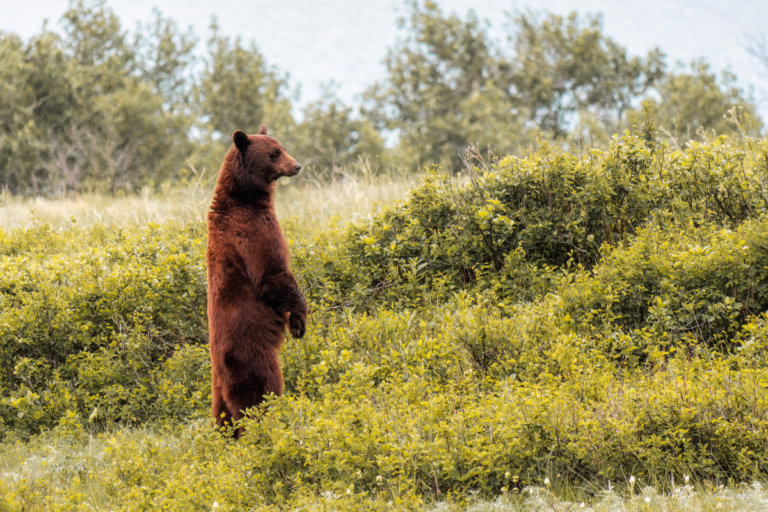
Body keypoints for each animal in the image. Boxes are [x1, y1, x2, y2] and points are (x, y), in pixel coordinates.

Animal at [208, 124, 310, 436]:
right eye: (274, 153)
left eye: (282, 146)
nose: (296, 166)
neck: (246, 197)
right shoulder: (254, 229)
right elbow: (273, 273)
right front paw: (299, 322)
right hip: (251, 357)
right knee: (260, 395)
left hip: (217, 390)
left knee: (222, 416)